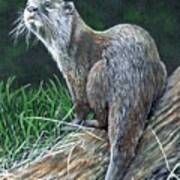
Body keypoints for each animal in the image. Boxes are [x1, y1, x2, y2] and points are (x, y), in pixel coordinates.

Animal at [16, 0, 167, 179]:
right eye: (29, 2)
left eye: (47, 5)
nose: (30, 8)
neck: (71, 45)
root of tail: (132, 74)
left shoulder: (76, 73)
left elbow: (79, 102)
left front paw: (73, 123)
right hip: (161, 70)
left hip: (96, 75)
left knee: (103, 120)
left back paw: (92, 122)